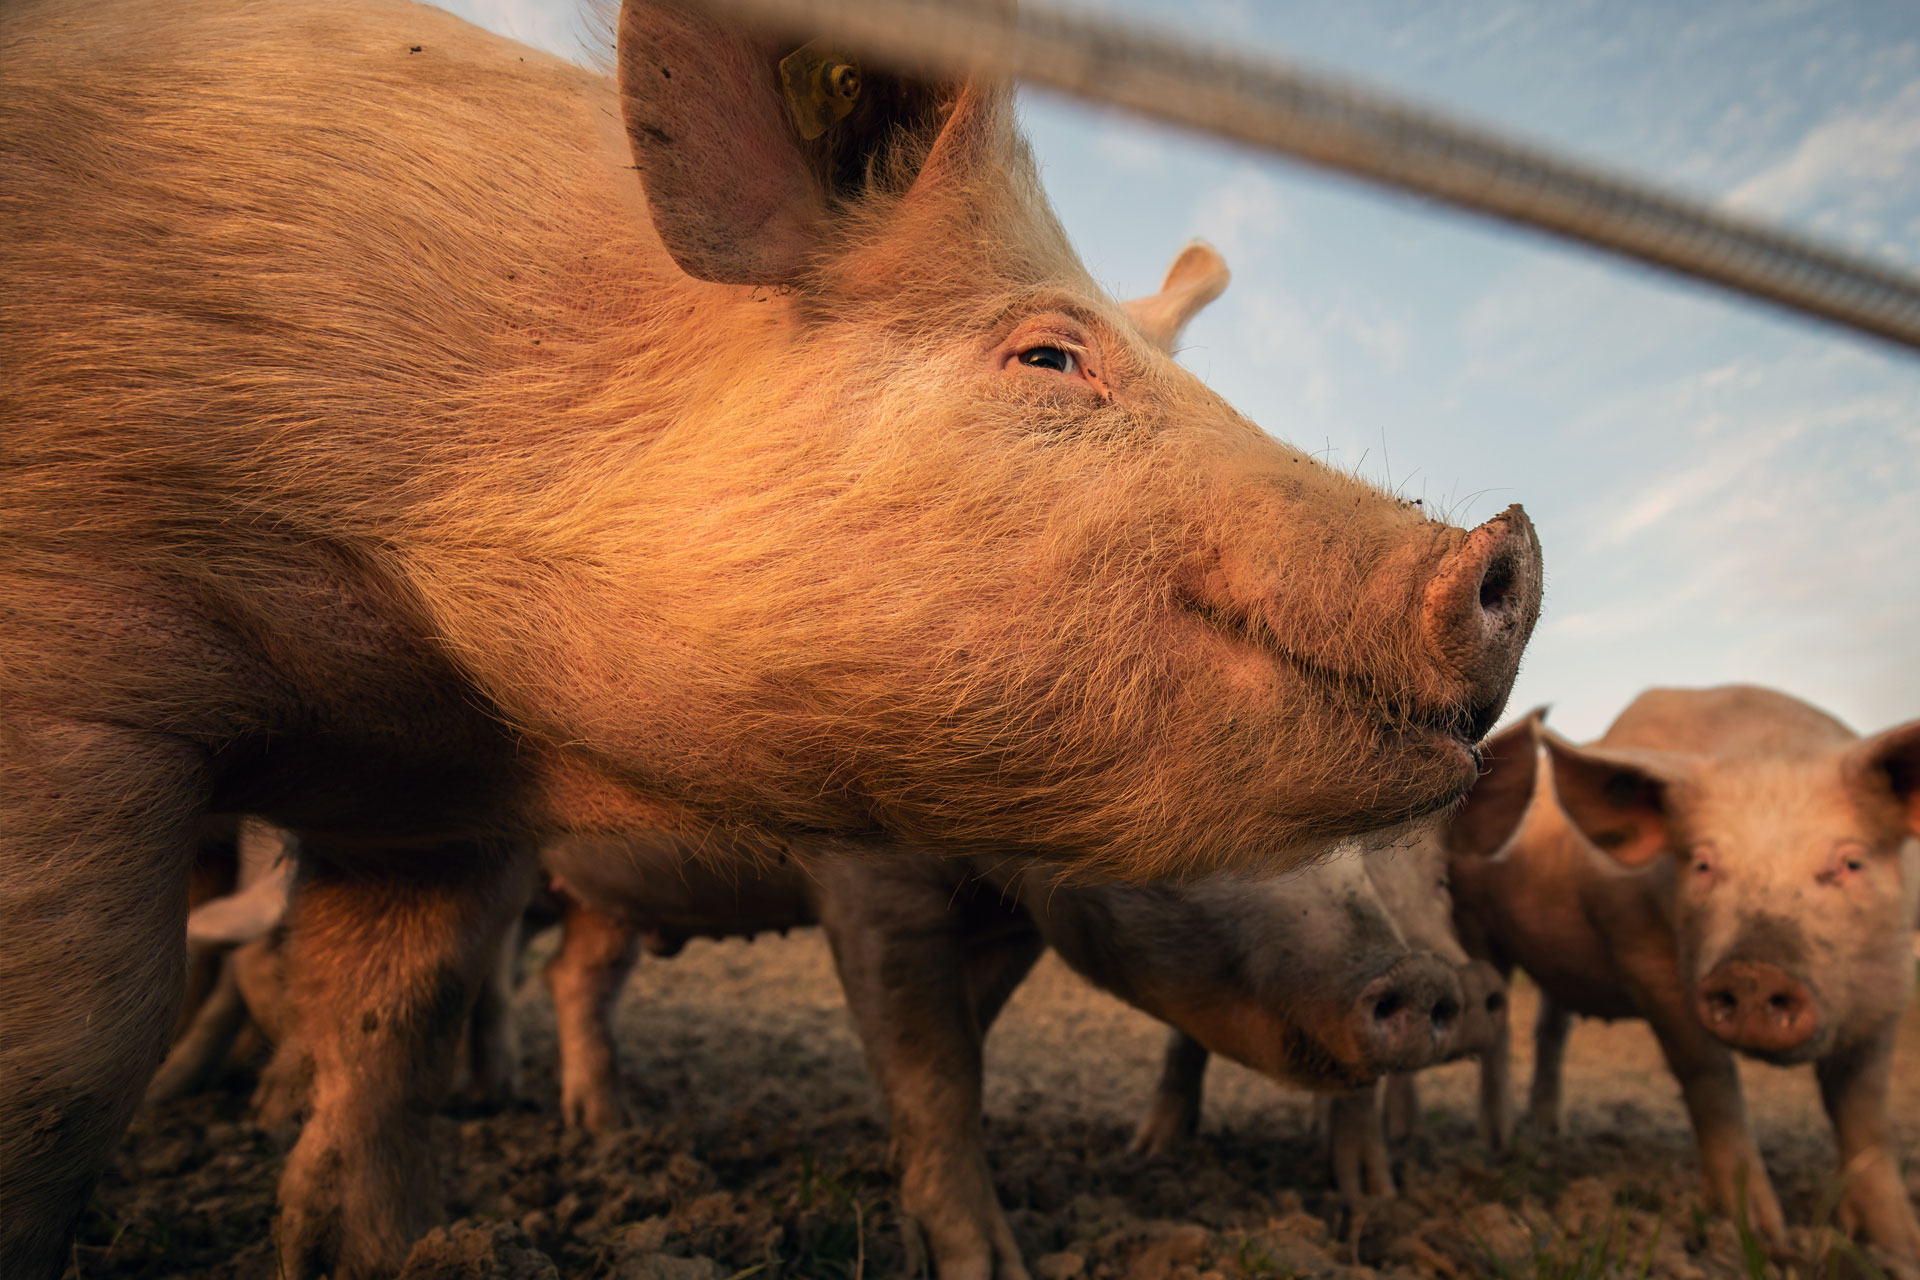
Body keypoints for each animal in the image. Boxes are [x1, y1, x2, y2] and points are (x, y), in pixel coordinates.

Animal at [0, 2, 1543, 1274]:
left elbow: (395, 1023)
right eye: (1048, 356)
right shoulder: (69, 658)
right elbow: (71, 1061)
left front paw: (387, 1252)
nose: (1509, 542)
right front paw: (986, 1262)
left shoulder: (444, 802)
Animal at [1451, 690, 1920, 1274]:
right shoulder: (1641, 954)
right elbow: (1711, 1078)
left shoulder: (1891, 975)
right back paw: (1501, 1145)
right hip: (1473, 921)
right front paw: (1758, 1234)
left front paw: (1898, 1246)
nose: (1752, 972)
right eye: (1701, 864)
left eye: (1852, 862)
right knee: (1497, 1029)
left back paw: (1550, 1134)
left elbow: (1862, 1106)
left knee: (1551, 1031)